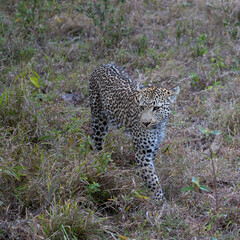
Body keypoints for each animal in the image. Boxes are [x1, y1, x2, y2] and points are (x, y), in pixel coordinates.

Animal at [89, 63, 179, 201]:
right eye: (141, 107)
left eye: (156, 108)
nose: (145, 123)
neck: (158, 127)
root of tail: (102, 65)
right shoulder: (143, 152)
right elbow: (153, 179)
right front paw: (160, 202)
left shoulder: (154, 148)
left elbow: (148, 173)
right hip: (99, 119)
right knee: (98, 144)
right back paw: (102, 163)